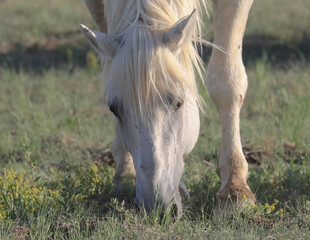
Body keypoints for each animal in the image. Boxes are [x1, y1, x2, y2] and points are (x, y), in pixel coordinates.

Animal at [81, 0, 256, 215]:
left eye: (179, 103)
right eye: (114, 109)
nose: (155, 206)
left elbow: (226, 82)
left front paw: (235, 188)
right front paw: (125, 169)